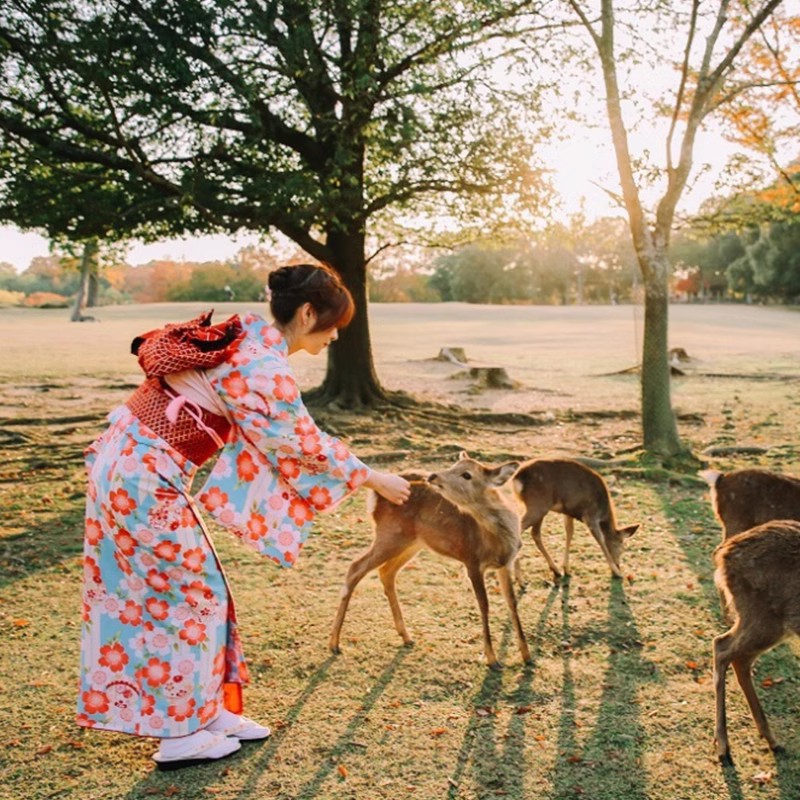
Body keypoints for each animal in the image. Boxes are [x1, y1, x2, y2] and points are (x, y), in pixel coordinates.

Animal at [328, 450, 536, 668]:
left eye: (467, 474)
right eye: (453, 465)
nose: (433, 476)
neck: (497, 538)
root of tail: (373, 496)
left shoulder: (505, 564)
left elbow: (512, 602)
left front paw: (527, 656)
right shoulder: (471, 560)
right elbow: (484, 604)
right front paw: (492, 658)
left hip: (412, 542)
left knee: (386, 572)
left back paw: (406, 636)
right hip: (390, 534)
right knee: (356, 567)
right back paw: (334, 643)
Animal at [712, 516, 800, 764]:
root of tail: (724, 554)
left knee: (738, 658)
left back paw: (771, 739)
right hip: (763, 618)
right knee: (722, 647)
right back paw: (724, 746)